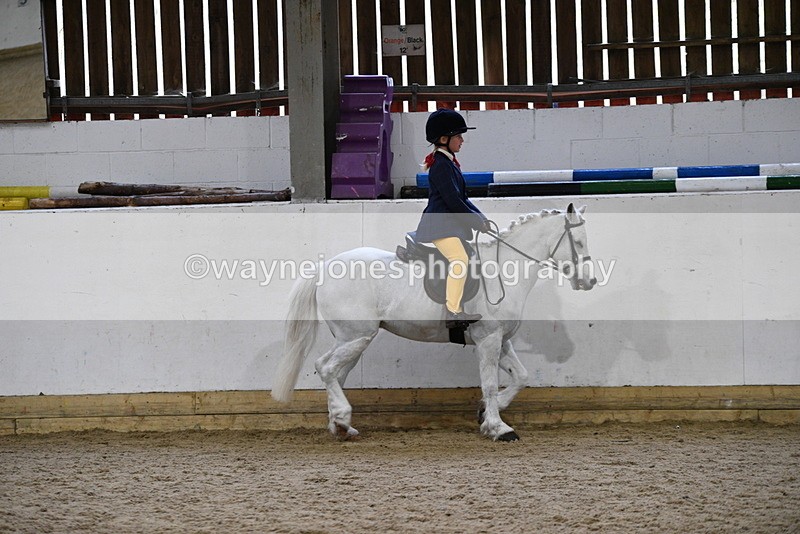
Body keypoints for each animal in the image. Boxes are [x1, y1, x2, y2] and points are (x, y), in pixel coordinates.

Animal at [271, 203, 597, 441]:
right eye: (579, 242)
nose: (589, 281)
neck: (503, 270)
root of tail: (324, 267)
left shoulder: (500, 340)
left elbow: (521, 377)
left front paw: (487, 413)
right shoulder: (489, 339)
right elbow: (490, 384)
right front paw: (498, 428)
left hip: (350, 338)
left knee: (334, 372)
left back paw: (340, 425)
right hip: (356, 336)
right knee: (326, 368)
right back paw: (342, 417)